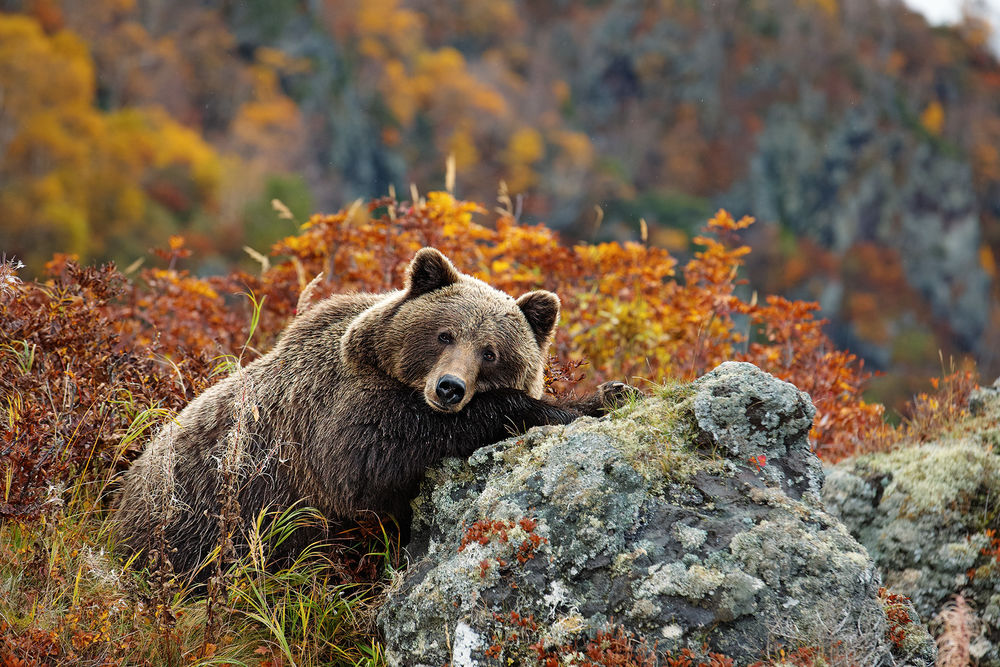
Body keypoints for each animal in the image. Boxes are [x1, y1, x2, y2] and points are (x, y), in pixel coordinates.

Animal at [112, 247, 633, 575]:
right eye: (444, 334)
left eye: (490, 352)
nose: (449, 388)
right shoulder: (331, 419)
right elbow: (367, 460)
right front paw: (582, 401)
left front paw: (611, 391)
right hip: (197, 520)